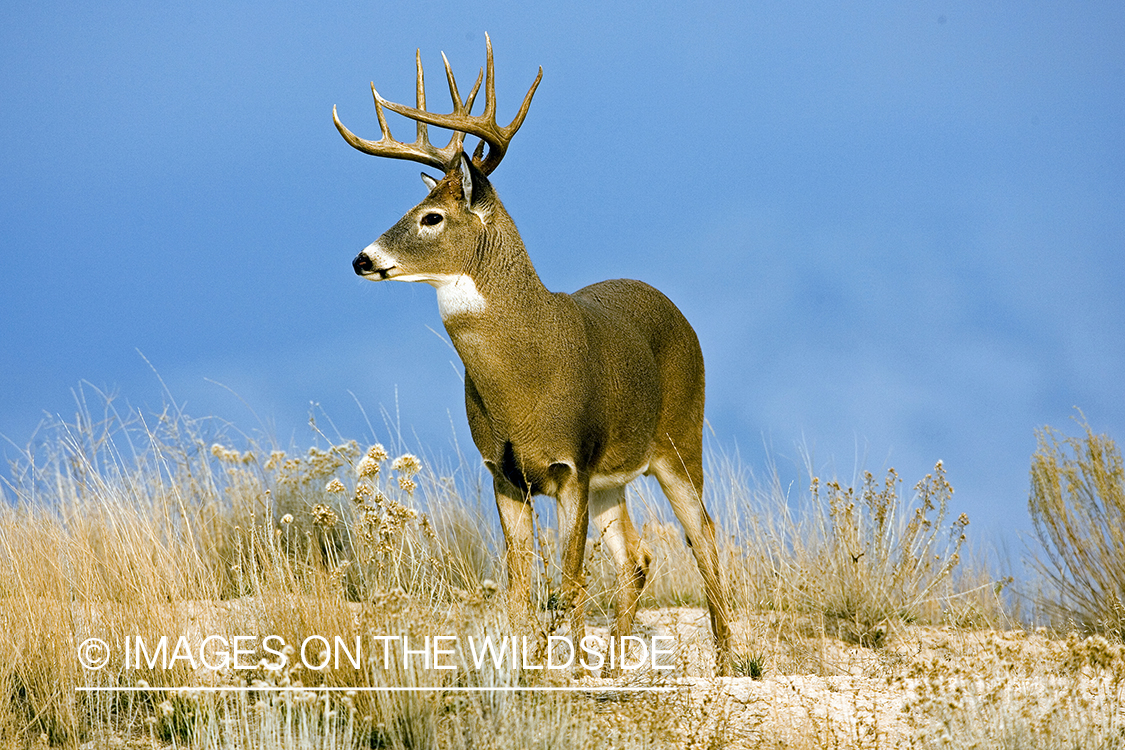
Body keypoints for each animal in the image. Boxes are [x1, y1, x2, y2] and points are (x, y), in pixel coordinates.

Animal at [330, 35, 738, 679]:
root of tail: (676, 309)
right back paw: (616, 665)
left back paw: (726, 661)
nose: (362, 259)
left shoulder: (574, 463)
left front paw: (564, 670)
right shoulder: (503, 470)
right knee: (637, 556)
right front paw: (528, 667)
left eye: (432, 216)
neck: (523, 381)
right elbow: (521, 584)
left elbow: (569, 582)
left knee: (703, 533)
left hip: (678, 438)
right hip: (614, 478)